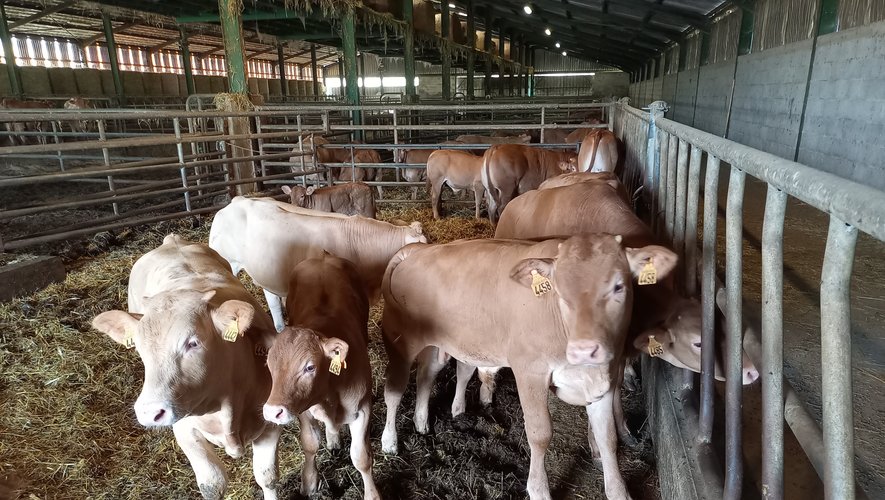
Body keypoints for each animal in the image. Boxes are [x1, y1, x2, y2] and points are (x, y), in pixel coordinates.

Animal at [90, 235, 280, 500]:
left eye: (193, 342)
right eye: (140, 348)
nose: (149, 412)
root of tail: (171, 241)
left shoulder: (271, 423)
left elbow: (267, 476)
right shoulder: (184, 429)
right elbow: (212, 485)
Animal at [258, 256, 376, 498]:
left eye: (309, 367)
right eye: (269, 365)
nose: (272, 412)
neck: (330, 394)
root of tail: (322, 256)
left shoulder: (363, 407)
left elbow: (361, 457)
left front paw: (372, 494)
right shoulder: (302, 408)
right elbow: (310, 444)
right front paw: (309, 482)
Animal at [380, 235, 676, 500]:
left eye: (618, 286)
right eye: (558, 291)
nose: (585, 349)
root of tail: (418, 250)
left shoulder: (602, 378)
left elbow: (608, 436)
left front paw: (618, 491)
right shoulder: (530, 372)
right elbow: (540, 433)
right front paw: (539, 490)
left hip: (437, 344)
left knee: (426, 375)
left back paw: (421, 422)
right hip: (400, 342)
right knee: (394, 392)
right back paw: (389, 442)